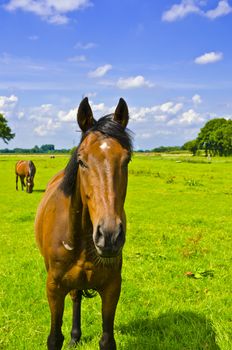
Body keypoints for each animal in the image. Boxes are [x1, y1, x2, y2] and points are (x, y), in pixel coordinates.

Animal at [34, 97, 132, 348]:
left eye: (126, 160)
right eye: (81, 161)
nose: (109, 236)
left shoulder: (112, 288)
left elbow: (107, 340)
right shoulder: (54, 288)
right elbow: (54, 338)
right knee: (76, 297)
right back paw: (74, 337)